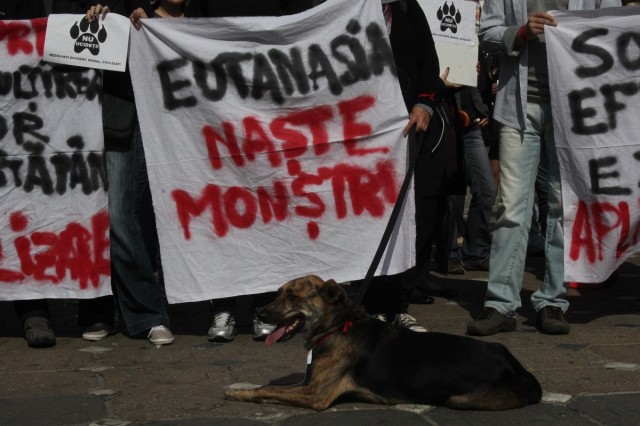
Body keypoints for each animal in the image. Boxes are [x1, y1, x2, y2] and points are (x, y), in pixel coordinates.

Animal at [225, 274, 540, 412]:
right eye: (278, 293)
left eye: (292, 297)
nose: (259, 313)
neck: (336, 325)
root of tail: (519, 369)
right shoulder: (308, 385)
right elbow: (272, 388)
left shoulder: (315, 394)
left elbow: (269, 388)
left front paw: (239, 393)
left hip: (459, 399)